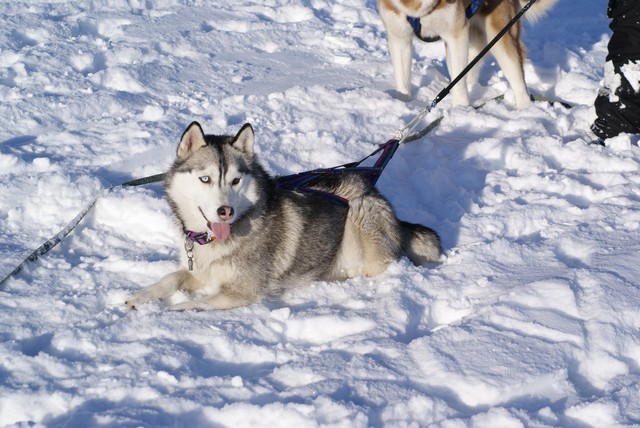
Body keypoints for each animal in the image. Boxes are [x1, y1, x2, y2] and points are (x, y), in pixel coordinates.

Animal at [125, 122, 441, 311]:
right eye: (205, 179)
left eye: (235, 180)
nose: (225, 211)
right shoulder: (200, 271)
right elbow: (170, 278)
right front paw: (139, 297)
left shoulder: (240, 292)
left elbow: (192, 305)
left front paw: (165, 312)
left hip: (360, 214)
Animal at [378, 0, 557, 109]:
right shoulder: (399, 36)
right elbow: (402, 78)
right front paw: (401, 101)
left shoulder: (456, 34)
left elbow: (458, 80)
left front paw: (460, 109)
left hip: (500, 35)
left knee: (517, 79)